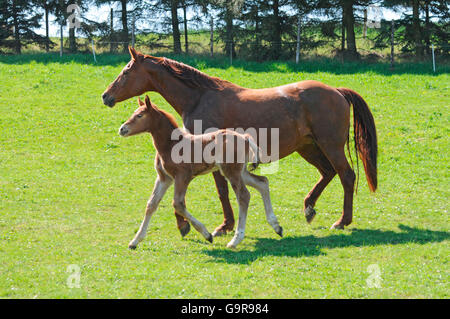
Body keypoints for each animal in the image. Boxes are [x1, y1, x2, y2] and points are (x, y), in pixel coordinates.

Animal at [119, 96, 282, 251]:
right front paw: (135, 241)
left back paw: (235, 240)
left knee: (243, 196)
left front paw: (207, 235)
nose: (122, 129)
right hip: (240, 171)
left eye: (140, 115)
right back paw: (276, 226)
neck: (171, 145)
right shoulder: (164, 178)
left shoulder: (182, 177)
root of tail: (245, 138)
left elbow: (178, 204)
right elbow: (151, 204)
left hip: (231, 171)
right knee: (262, 182)